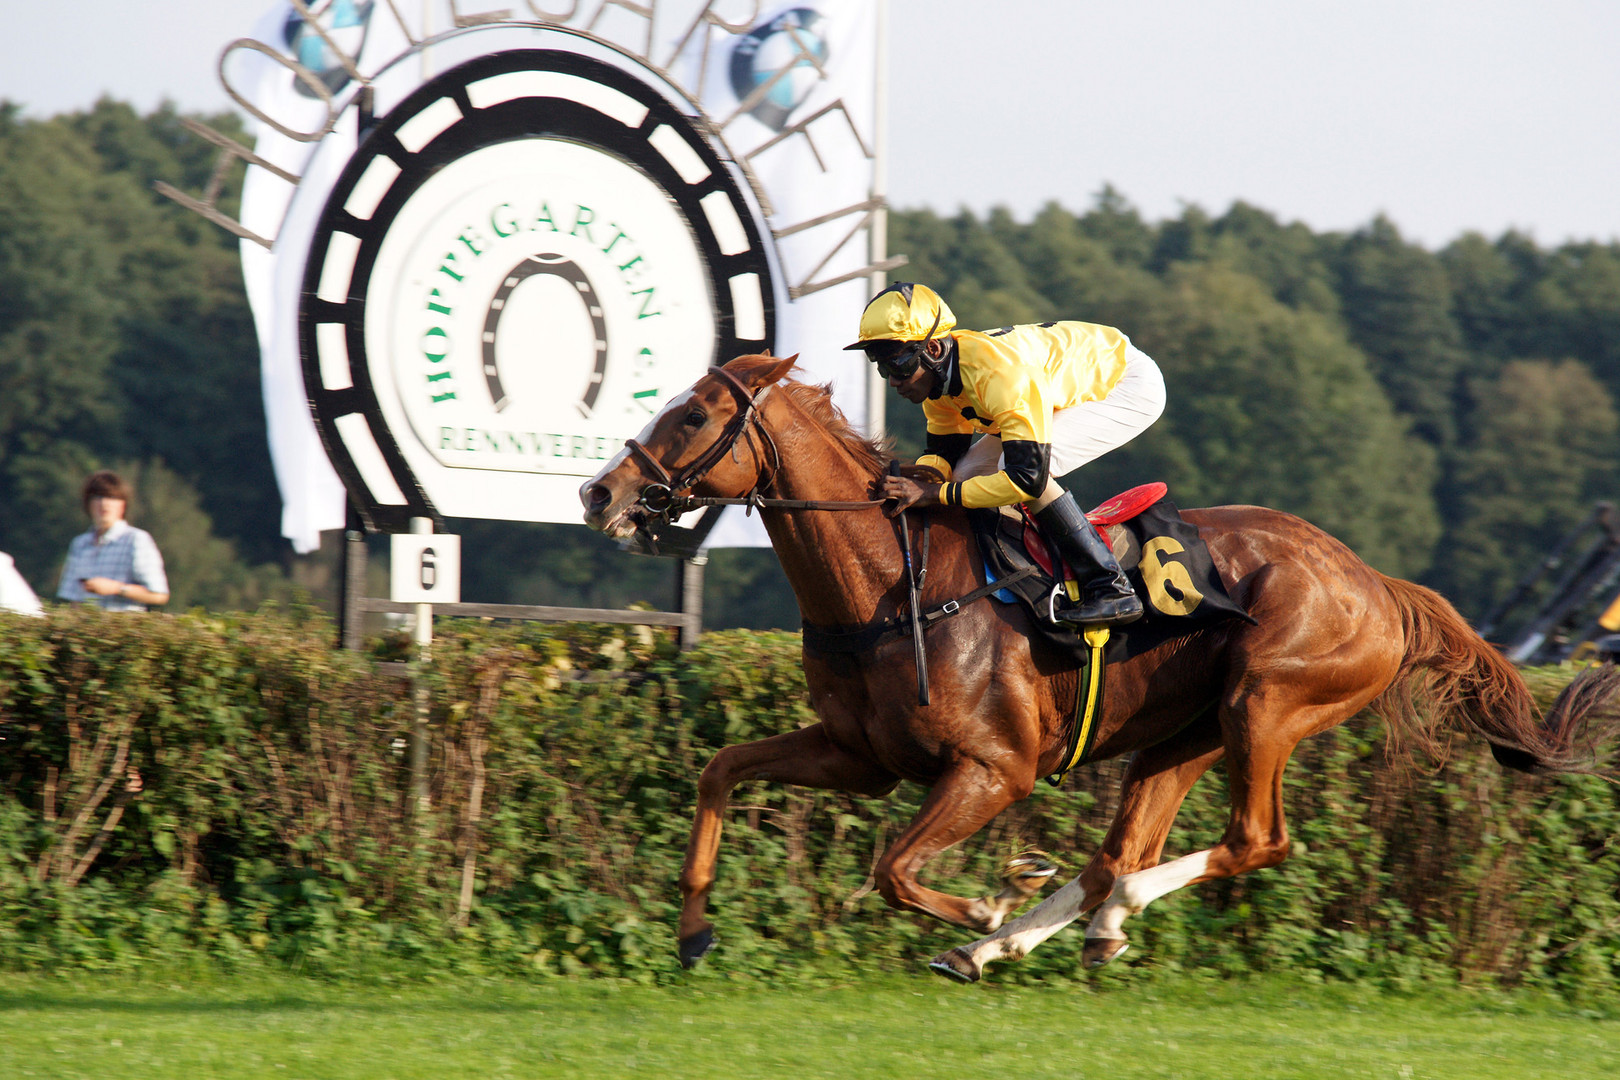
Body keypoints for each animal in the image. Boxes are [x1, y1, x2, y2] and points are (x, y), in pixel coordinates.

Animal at [576, 359, 1613, 984]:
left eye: (694, 413)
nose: (600, 493)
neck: (887, 584)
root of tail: (1377, 583)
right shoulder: (858, 755)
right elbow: (721, 770)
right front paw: (694, 931)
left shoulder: (994, 769)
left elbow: (894, 867)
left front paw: (986, 897)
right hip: (1186, 731)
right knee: (1120, 852)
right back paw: (1041, 936)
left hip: (1268, 701)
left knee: (1253, 840)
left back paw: (1073, 919)